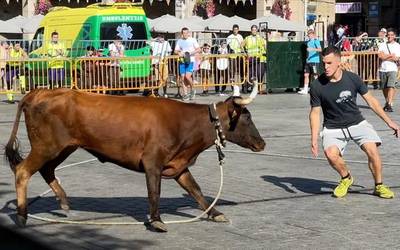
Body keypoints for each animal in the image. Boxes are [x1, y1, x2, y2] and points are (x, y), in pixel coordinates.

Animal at [5, 86, 266, 232]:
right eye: (247, 117)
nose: (262, 143)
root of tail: (40, 92)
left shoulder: (179, 165)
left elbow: (196, 190)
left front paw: (215, 213)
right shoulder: (153, 162)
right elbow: (154, 192)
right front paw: (157, 220)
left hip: (63, 147)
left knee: (47, 170)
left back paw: (64, 203)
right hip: (46, 146)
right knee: (23, 171)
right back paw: (22, 215)